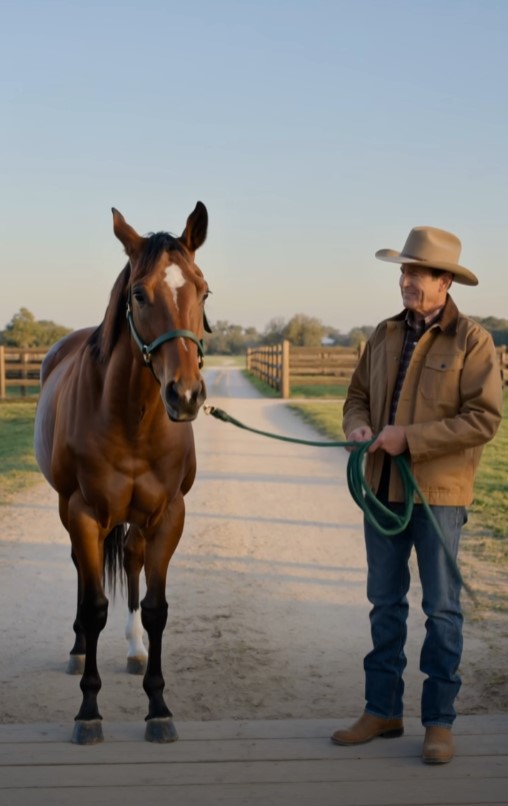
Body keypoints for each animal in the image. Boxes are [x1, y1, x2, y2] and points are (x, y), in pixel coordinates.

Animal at [34, 202, 210, 744]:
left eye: (203, 290)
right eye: (138, 293)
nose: (186, 395)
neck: (132, 419)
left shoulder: (169, 515)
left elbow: (156, 608)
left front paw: (158, 706)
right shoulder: (85, 513)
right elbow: (93, 607)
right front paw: (88, 711)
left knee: (130, 560)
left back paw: (133, 650)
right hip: (69, 509)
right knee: (80, 569)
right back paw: (76, 652)